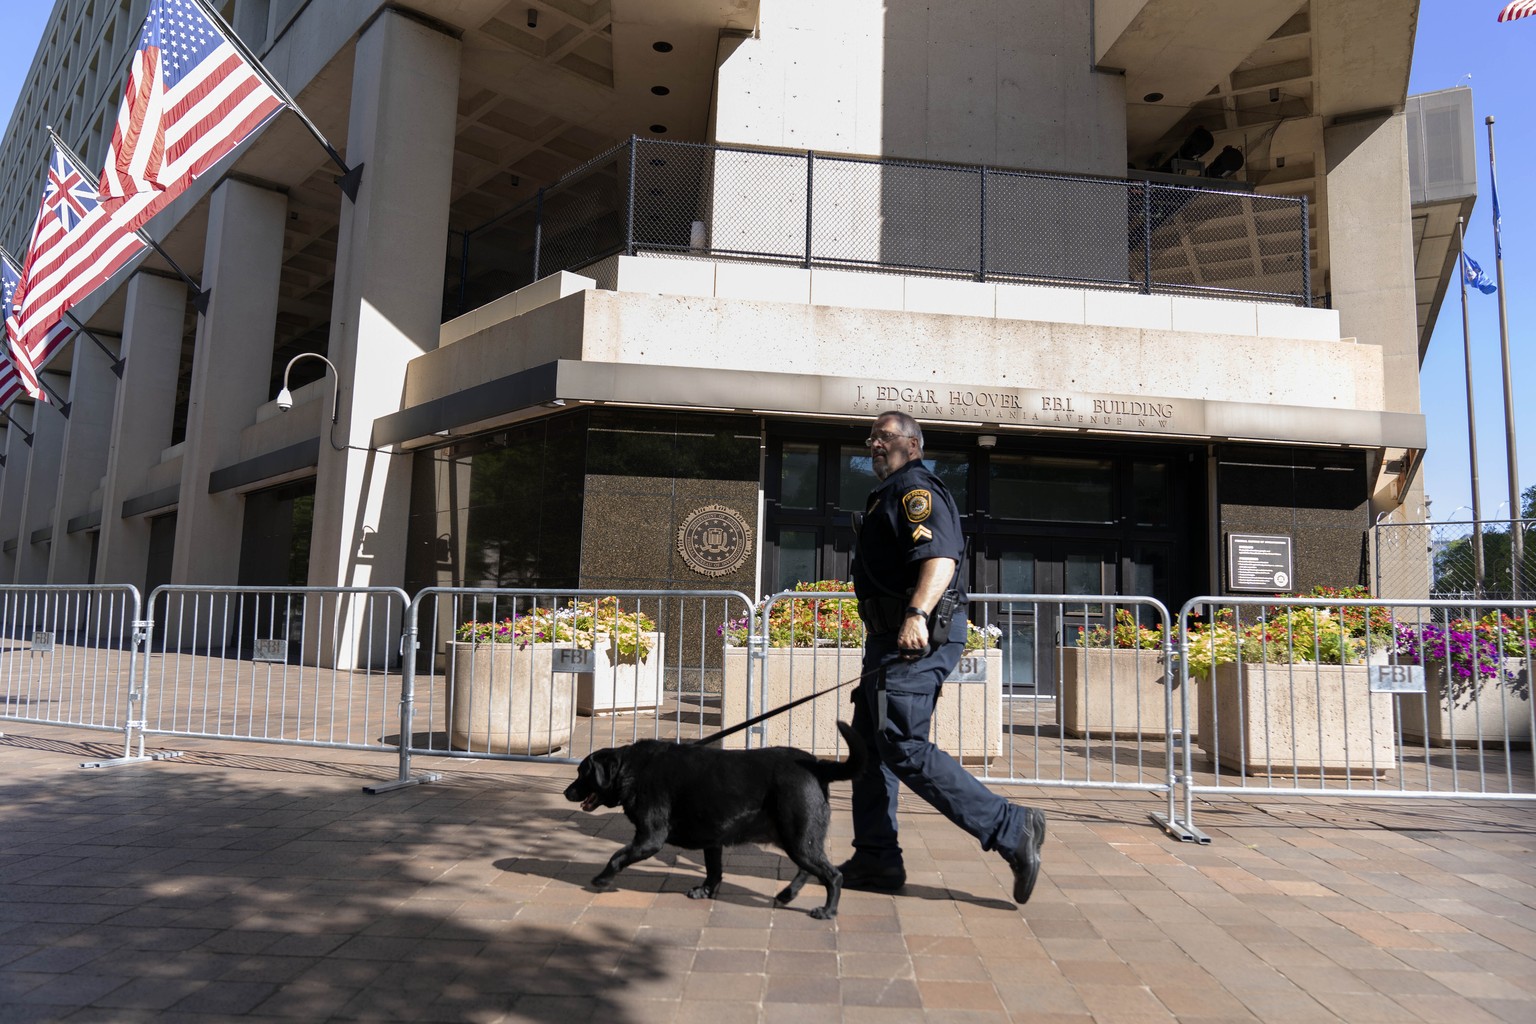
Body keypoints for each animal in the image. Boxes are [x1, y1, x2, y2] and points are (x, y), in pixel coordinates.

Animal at [568, 721, 866, 921]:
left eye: (582, 772)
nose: (567, 792)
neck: (632, 769)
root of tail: (817, 764)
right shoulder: (713, 841)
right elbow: (714, 870)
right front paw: (705, 891)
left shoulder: (650, 838)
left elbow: (617, 857)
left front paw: (601, 879)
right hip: (799, 839)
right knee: (809, 869)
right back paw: (786, 894)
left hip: (798, 837)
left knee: (833, 875)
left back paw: (827, 910)